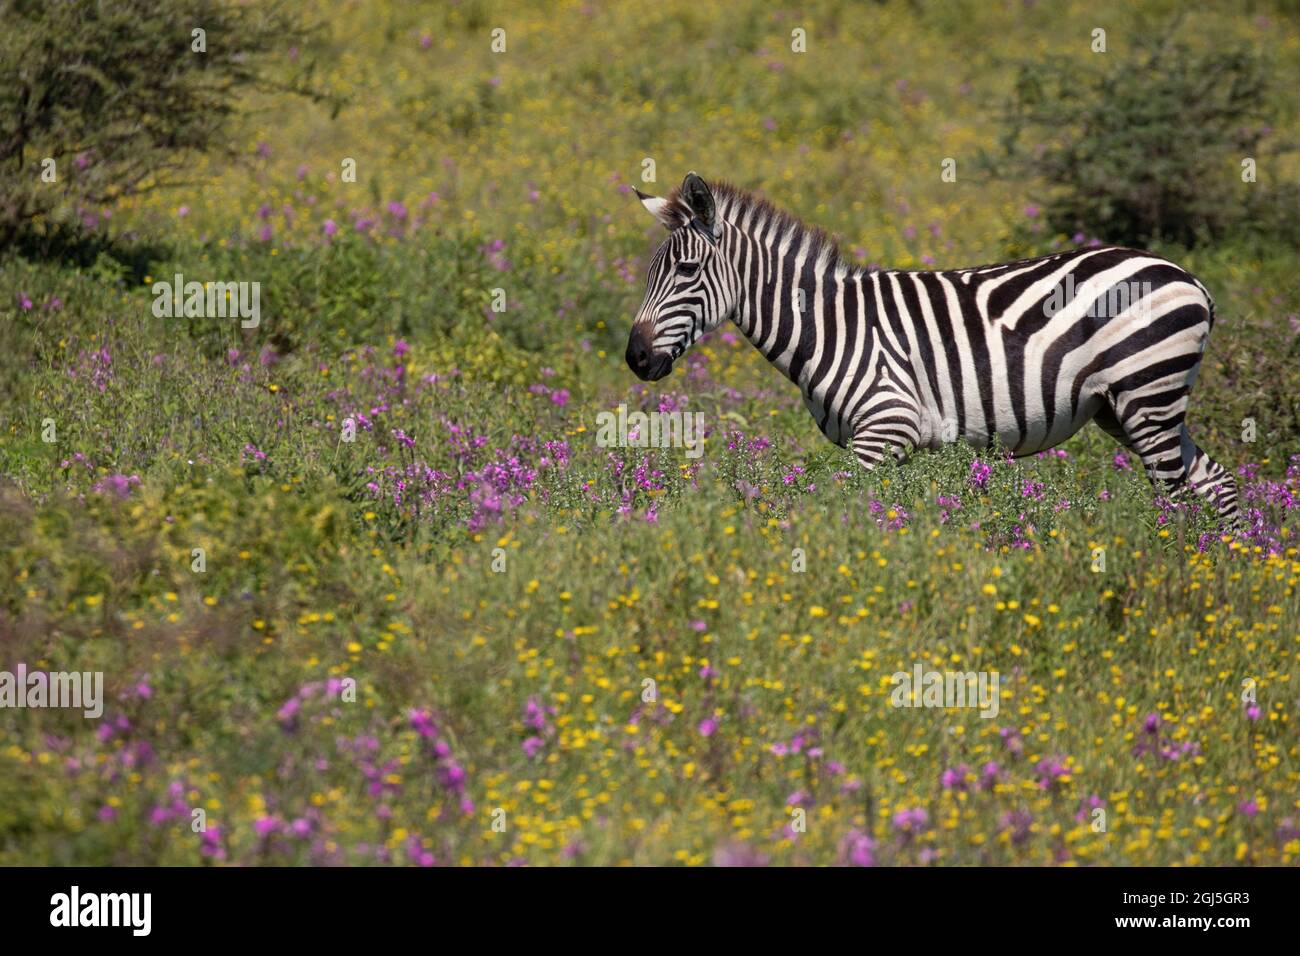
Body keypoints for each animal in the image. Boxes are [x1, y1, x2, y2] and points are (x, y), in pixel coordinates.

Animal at [624, 175, 1242, 528]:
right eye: (650, 272)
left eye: (685, 271)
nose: (635, 359)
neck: (830, 325)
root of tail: (1188, 276)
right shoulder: (893, 442)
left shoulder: (885, 426)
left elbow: (842, 508)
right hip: (1129, 406)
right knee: (1216, 484)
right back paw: (1231, 574)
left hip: (1147, 393)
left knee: (1175, 499)